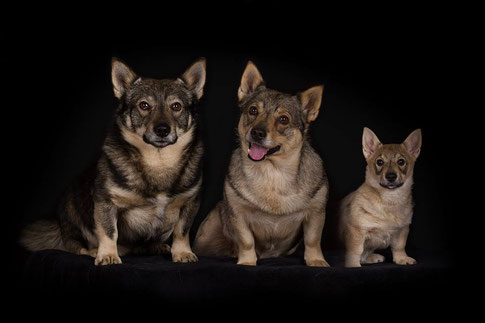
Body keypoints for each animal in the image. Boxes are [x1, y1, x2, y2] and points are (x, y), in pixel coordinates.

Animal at [20, 57, 206, 266]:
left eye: (176, 106)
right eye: (144, 106)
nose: (162, 130)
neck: (158, 161)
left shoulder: (190, 202)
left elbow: (182, 231)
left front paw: (182, 252)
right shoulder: (105, 202)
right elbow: (109, 231)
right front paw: (108, 255)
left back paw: (157, 247)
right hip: (72, 211)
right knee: (75, 246)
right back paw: (92, 251)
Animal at [193, 60, 328, 268]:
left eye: (283, 119)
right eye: (253, 110)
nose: (257, 132)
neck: (272, 173)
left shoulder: (316, 213)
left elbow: (313, 240)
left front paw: (316, 260)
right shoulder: (238, 214)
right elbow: (246, 241)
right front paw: (247, 262)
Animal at [338, 128, 422, 268]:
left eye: (401, 162)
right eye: (379, 162)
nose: (391, 176)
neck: (390, 198)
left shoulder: (403, 230)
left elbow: (399, 246)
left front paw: (401, 258)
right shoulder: (356, 232)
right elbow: (355, 251)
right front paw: (353, 265)